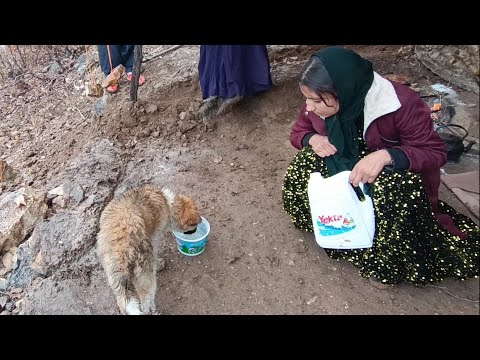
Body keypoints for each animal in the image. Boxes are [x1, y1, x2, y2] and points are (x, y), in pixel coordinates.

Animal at [96, 186, 202, 316]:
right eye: (194, 226)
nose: (196, 229)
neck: (167, 202)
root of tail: (122, 253)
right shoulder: (154, 239)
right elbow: (155, 255)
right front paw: (159, 264)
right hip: (146, 279)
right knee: (145, 304)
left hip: (117, 283)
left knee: (124, 303)